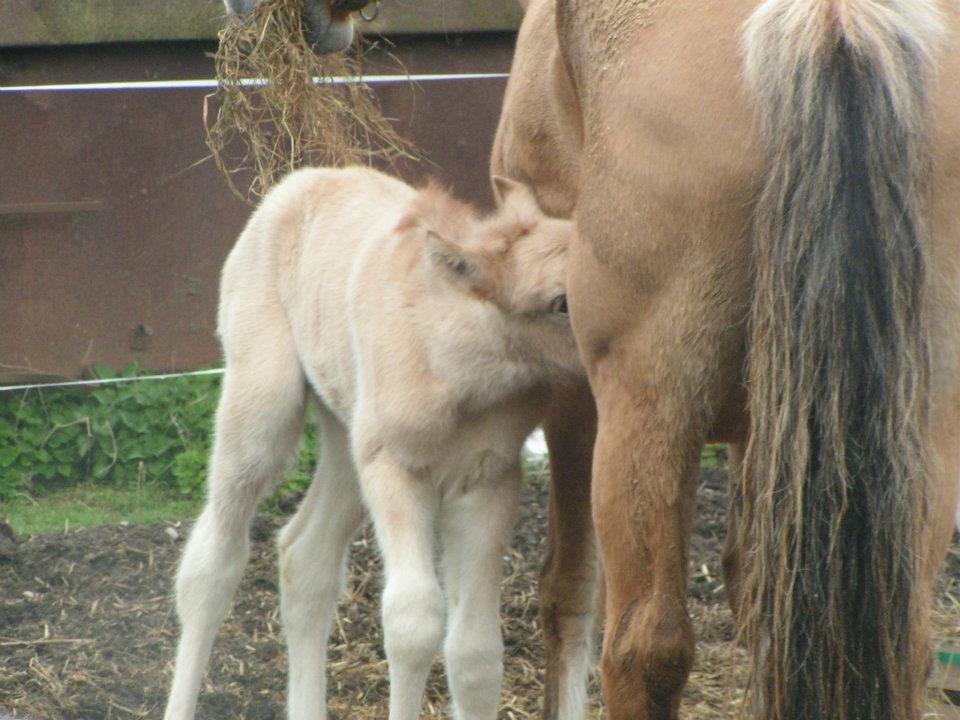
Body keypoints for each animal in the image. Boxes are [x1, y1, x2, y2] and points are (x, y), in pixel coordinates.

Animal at [165, 166, 580, 720]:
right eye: (560, 302)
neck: (461, 375)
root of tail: (294, 182)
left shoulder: (488, 479)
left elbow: (475, 653)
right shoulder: (394, 466)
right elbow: (414, 623)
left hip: (345, 436)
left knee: (306, 558)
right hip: (261, 404)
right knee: (211, 564)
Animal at [496, 1, 960, 720]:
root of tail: (832, 22)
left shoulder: (577, 389)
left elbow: (567, 589)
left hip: (651, 413)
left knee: (643, 645)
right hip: (919, 423)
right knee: (899, 641)